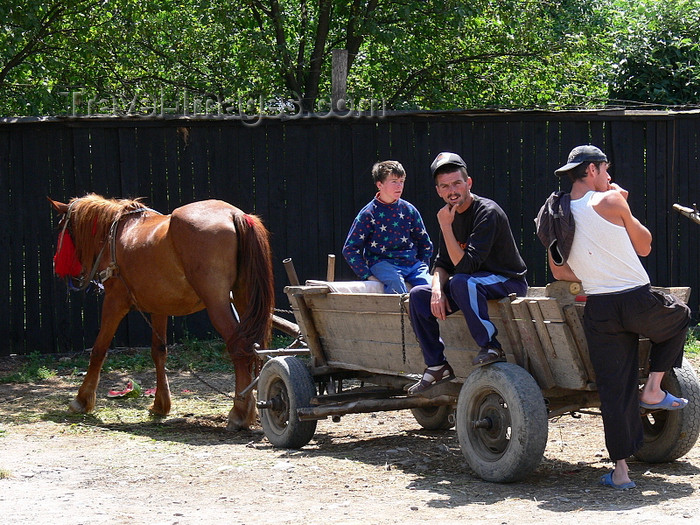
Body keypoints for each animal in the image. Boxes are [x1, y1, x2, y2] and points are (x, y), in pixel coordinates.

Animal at [48, 194, 274, 428]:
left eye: (61, 227)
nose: (56, 264)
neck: (117, 233)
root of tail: (234, 214)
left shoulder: (114, 302)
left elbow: (99, 349)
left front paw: (82, 399)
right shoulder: (159, 306)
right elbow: (159, 352)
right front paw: (161, 403)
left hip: (217, 303)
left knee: (239, 347)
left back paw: (240, 411)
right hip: (244, 300)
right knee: (256, 347)